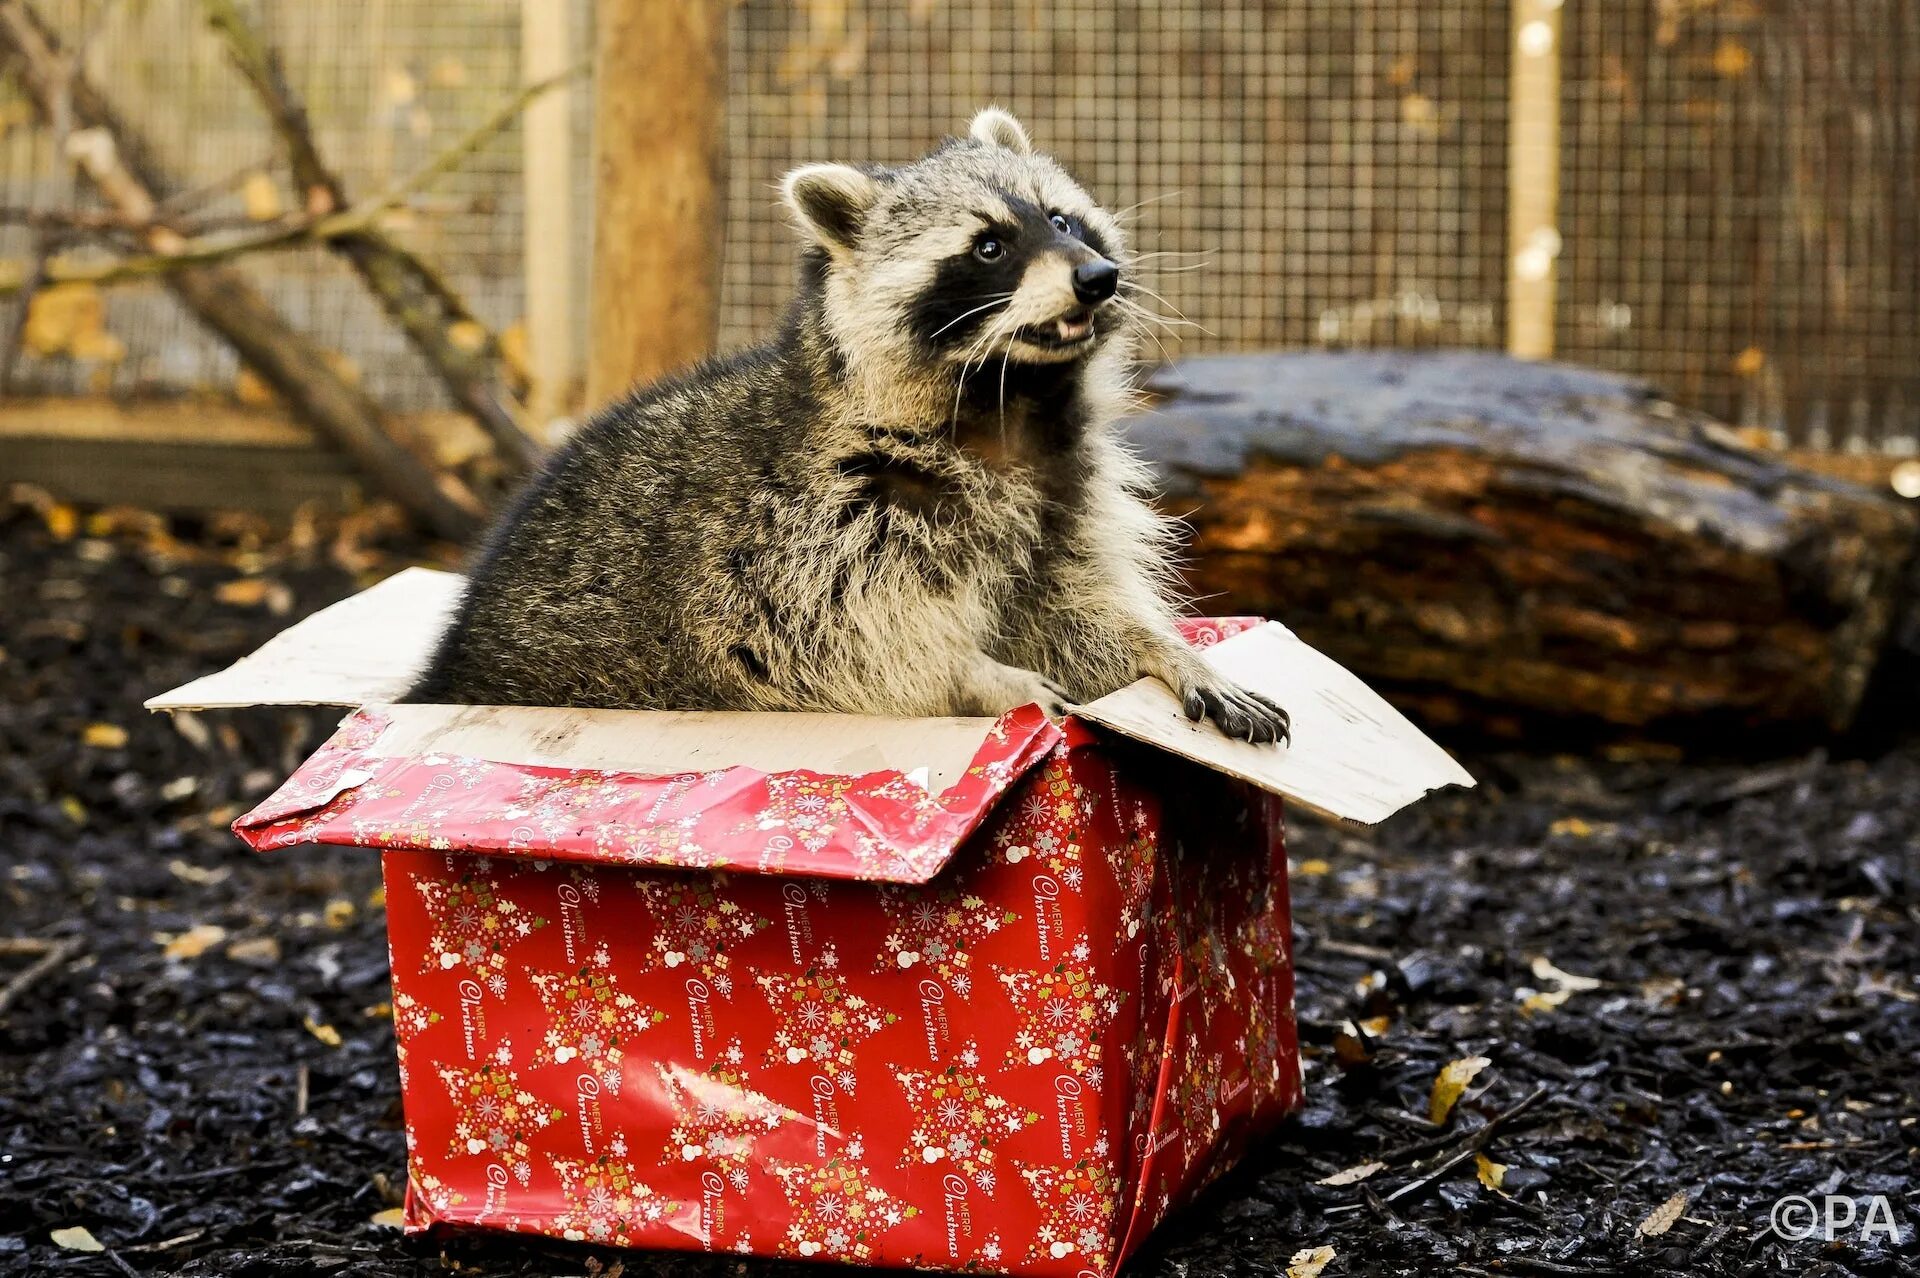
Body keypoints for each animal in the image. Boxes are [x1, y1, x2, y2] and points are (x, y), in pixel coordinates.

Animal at [414, 110, 1297, 748]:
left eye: (1065, 221)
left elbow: (1074, 612)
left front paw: (1166, 650)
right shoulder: (808, 528)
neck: (1011, 401)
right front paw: (980, 677)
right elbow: (840, 646)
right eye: (988, 246)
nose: (1098, 277)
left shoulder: (1062, 507)